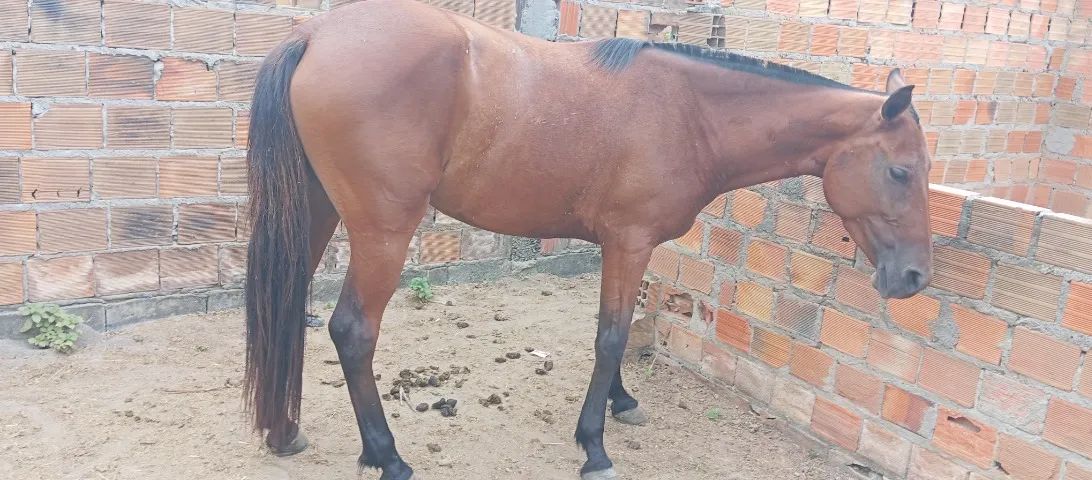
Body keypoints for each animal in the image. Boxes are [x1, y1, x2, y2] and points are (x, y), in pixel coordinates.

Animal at [242, 1, 933, 478]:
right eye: (901, 170)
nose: (915, 277)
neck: (691, 112)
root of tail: (315, 35)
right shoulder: (629, 241)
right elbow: (611, 337)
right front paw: (595, 446)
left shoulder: (625, 247)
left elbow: (617, 332)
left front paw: (622, 403)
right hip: (384, 231)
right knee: (352, 331)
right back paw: (387, 456)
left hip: (317, 214)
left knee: (287, 307)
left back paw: (283, 431)